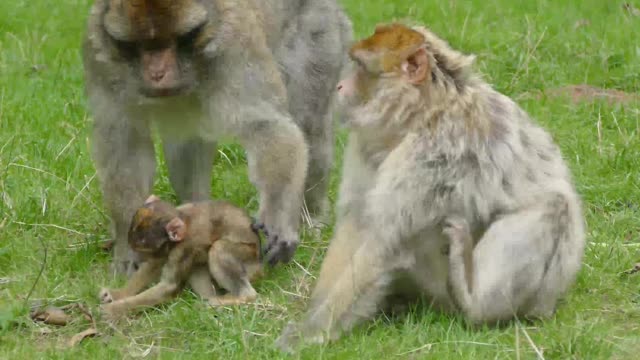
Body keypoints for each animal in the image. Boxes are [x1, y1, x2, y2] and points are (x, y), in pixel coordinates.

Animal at [82, 0, 352, 272]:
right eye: (134, 44)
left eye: (183, 37)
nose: (157, 73)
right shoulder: (101, 60)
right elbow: (125, 145)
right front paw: (130, 244)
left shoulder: (233, 48)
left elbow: (269, 127)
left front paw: (277, 219)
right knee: (186, 143)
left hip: (320, 35)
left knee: (310, 128)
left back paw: (311, 217)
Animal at [99, 194, 262, 318]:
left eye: (142, 251)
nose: (138, 259)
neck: (184, 219)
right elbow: (154, 265)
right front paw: (118, 294)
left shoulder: (183, 248)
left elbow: (168, 286)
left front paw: (113, 310)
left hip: (249, 258)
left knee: (218, 248)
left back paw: (239, 297)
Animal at [276, 23, 584, 350]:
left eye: (360, 67)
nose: (339, 87)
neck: (424, 115)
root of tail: (550, 301)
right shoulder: (367, 144)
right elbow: (357, 221)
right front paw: (313, 312)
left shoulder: (435, 155)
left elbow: (385, 243)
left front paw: (309, 332)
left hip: (535, 290)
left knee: (554, 206)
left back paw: (473, 301)